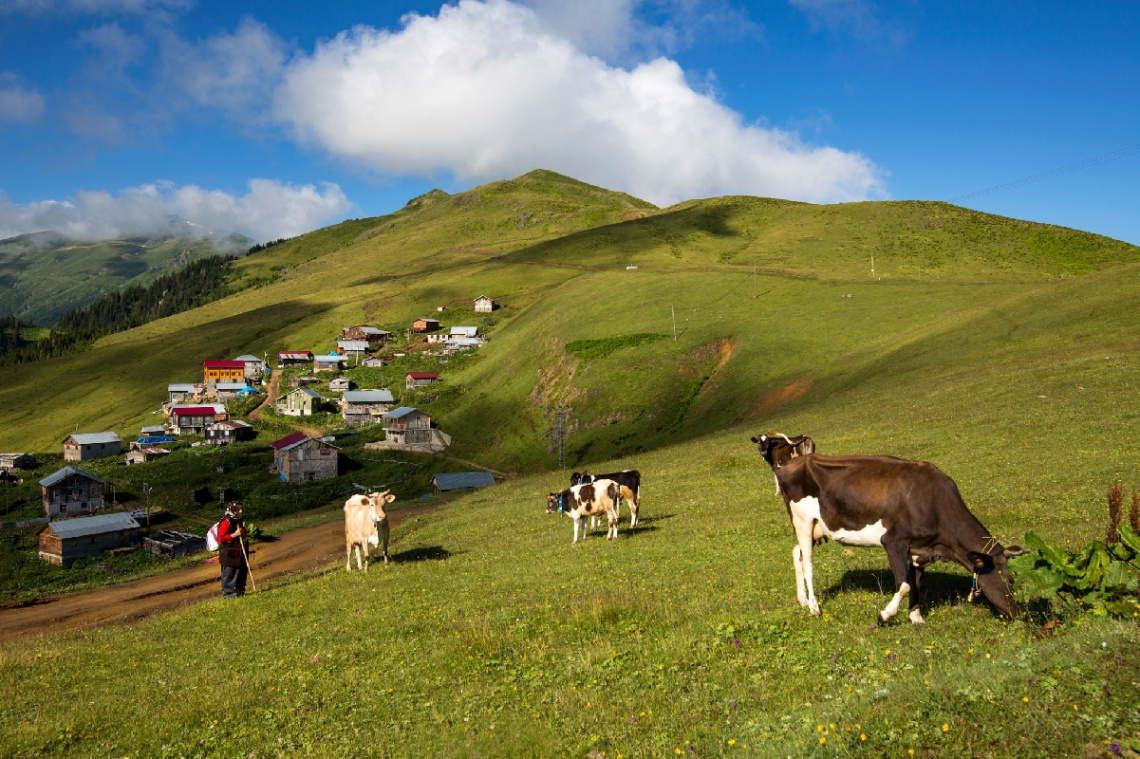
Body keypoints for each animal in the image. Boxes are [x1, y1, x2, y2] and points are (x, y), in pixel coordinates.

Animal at [752, 430, 1030, 619]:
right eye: (1006, 579)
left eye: (1013, 578)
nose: (1017, 613)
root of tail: (791, 464)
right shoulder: (894, 541)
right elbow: (904, 584)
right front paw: (885, 615)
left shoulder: (920, 550)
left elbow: (916, 583)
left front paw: (916, 618)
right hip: (802, 521)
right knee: (807, 562)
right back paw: (813, 607)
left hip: (814, 528)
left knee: (797, 554)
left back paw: (802, 600)